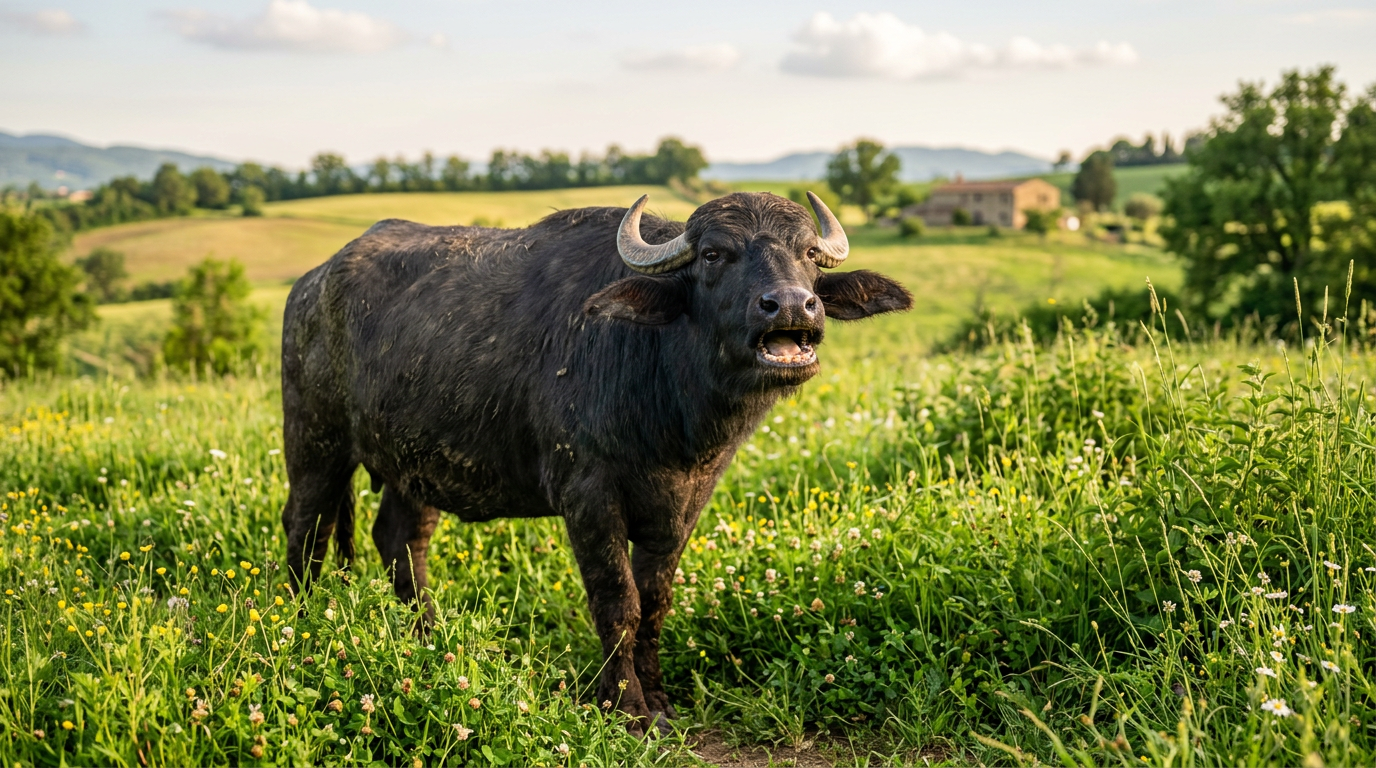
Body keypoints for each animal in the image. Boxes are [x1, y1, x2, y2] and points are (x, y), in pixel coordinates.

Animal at [280, 191, 911, 733]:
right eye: (714, 254)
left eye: (808, 255)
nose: (792, 305)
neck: (664, 395)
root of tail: (311, 285)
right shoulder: (587, 496)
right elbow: (618, 602)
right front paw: (627, 707)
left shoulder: (685, 502)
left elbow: (655, 602)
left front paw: (659, 698)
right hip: (315, 439)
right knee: (305, 529)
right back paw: (301, 624)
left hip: (415, 463)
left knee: (400, 540)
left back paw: (429, 638)